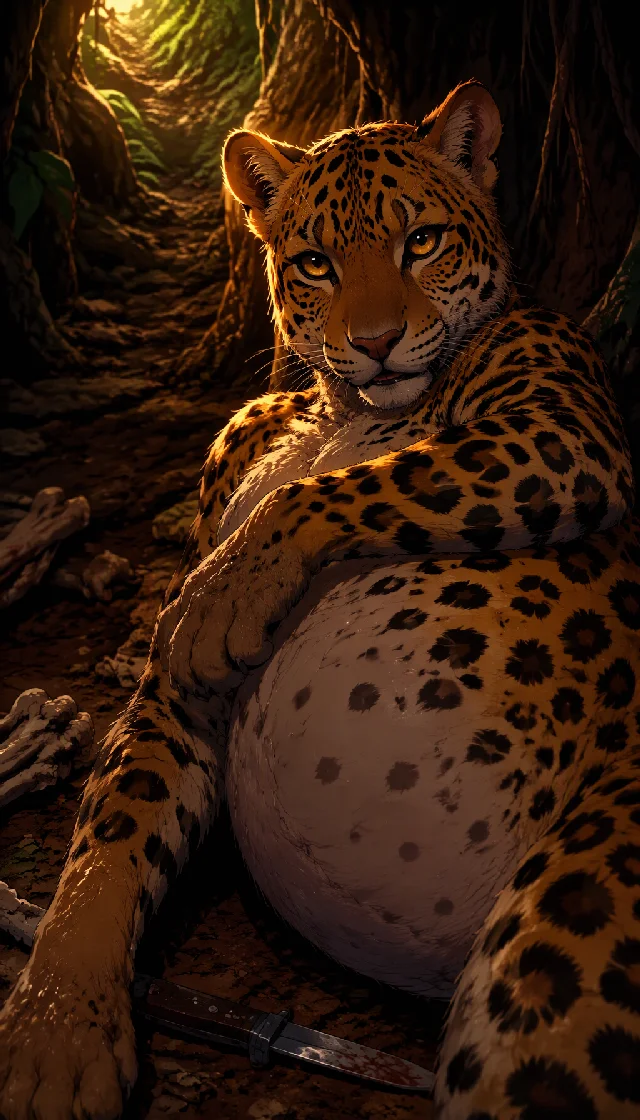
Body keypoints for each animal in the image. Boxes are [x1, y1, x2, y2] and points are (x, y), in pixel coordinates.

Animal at [1, 80, 640, 1120]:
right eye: (314, 263)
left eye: (422, 241)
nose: (374, 344)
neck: (345, 412)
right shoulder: (178, 697)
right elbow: (105, 845)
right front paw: (54, 1028)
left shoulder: (562, 429)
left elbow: (354, 486)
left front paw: (217, 599)